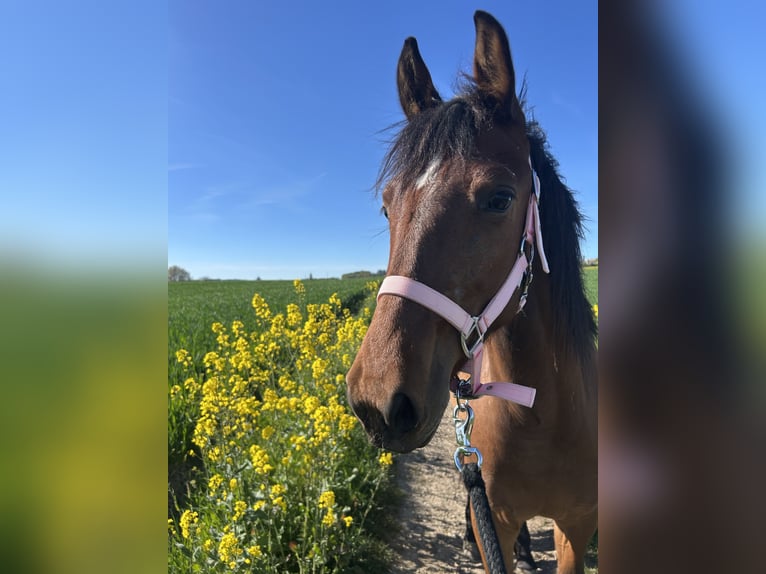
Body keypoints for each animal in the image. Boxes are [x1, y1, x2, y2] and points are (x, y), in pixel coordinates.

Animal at [346, 10, 597, 574]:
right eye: (388, 205)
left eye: (500, 198)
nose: (377, 400)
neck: (545, 417)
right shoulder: (495, 524)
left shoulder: (577, 527)